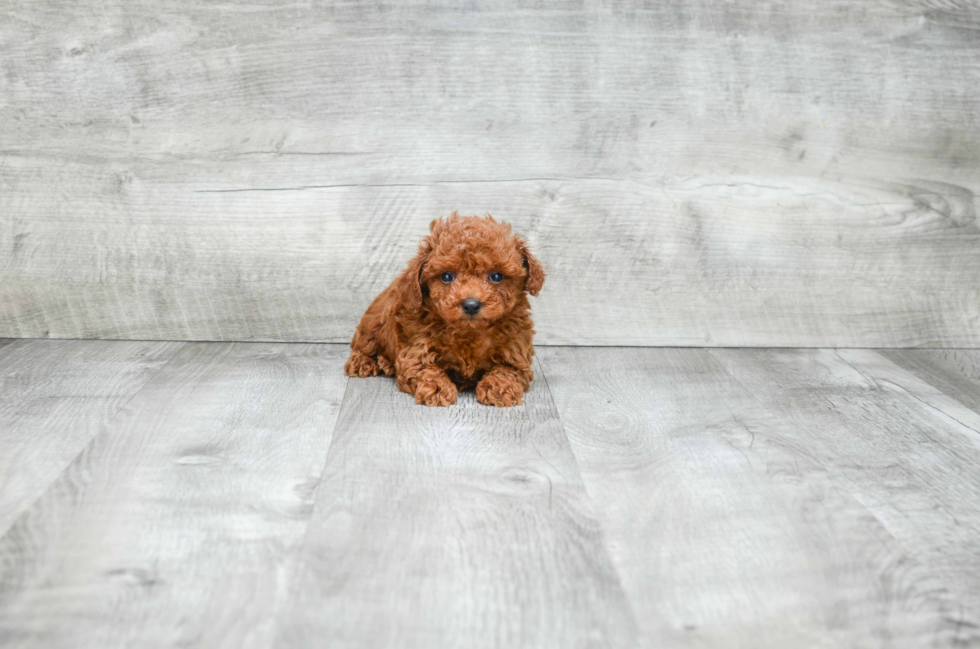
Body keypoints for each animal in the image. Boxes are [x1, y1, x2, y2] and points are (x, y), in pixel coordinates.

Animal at [342, 213, 544, 404]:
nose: (471, 305)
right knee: (362, 345)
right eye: (447, 276)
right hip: (373, 324)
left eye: (496, 276)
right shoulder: (416, 351)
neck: (469, 333)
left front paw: (499, 389)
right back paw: (362, 362)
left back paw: (387, 363)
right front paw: (438, 389)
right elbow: (426, 370)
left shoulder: (517, 354)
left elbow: (507, 371)